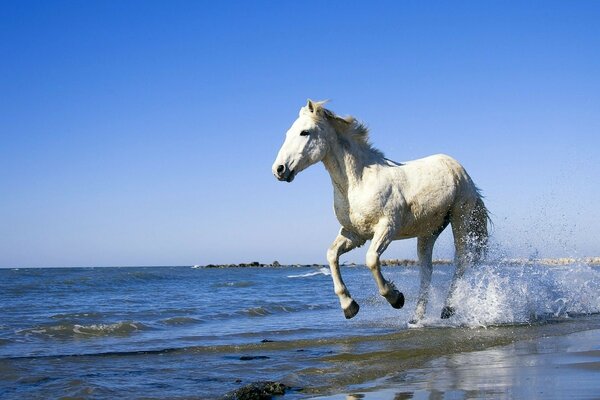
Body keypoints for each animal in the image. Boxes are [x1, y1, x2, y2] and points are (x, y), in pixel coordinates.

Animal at [272, 100, 488, 322]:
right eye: (288, 133)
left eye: (304, 132)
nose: (279, 169)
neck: (359, 182)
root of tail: (459, 169)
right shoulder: (354, 234)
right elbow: (331, 255)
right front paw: (349, 306)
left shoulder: (386, 227)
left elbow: (371, 260)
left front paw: (396, 298)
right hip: (428, 232)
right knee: (427, 271)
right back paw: (416, 317)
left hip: (460, 219)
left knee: (461, 261)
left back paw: (448, 309)